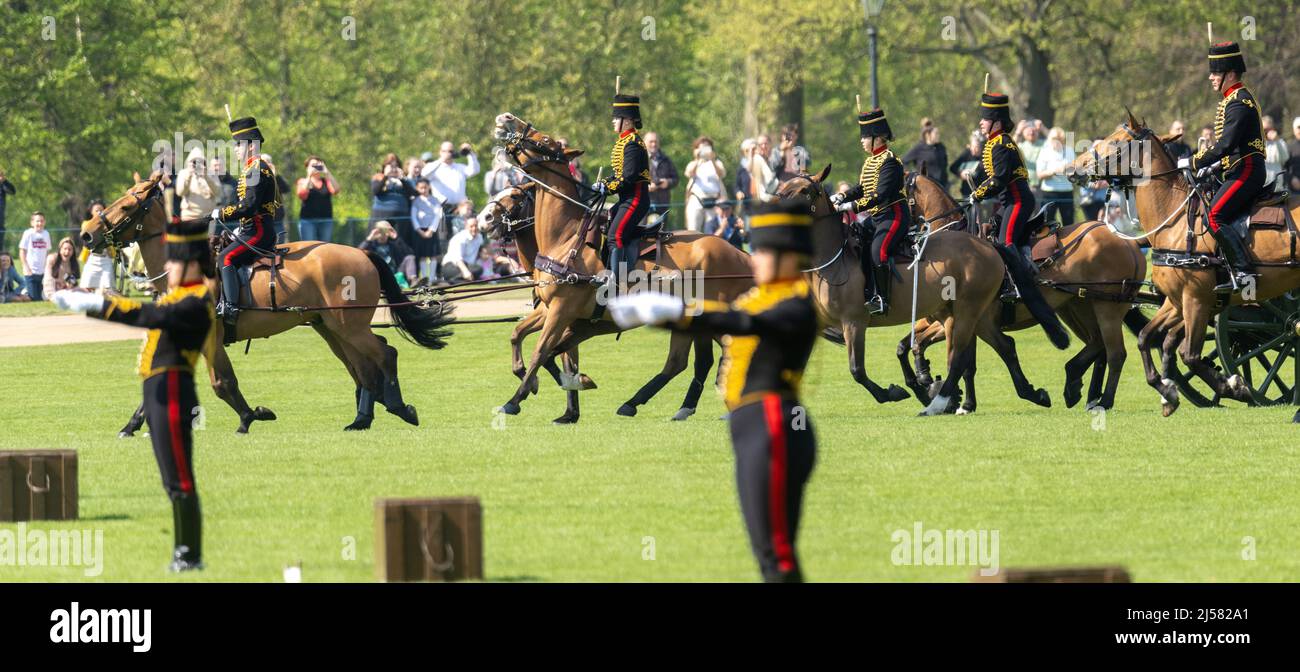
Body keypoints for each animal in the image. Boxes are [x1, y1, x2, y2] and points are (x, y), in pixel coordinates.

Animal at [79, 172, 457, 431]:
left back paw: (399, 408)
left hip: (348, 326)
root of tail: (362, 252)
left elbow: (223, 383)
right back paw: (362, 418)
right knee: (364, 368)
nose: (86, 234)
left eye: (128, 204)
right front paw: (131, 425)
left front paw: (251, 416)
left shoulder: (212, 336)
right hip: (331, 328)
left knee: (384, 354)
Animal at [488, 115, 754, 418]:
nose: (506, 119)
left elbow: (542, 352)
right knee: (681, 362)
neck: (564, 238)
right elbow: (519, 335)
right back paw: (646, 404)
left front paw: (515, 400)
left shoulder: (561, 311)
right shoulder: (551, 310)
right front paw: (540, 383)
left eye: (544, 140)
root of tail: (740, 254)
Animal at [774, 163, 1071, 413]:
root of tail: (988, 246)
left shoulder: (854, 322)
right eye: (783, 187)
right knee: (1005, 346)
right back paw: (1032, 393)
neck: (833, 260)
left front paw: (896, 392)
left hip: (966, 313)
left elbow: (858, 369)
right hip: (977, 315)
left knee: (962, 358)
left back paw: (939, 403)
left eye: (805, 191)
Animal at [894, 170, 1149, 410]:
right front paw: (935, 385)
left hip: (1104, 308)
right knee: (1099, 346)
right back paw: (1083, 391)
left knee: (1112, 352)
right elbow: (911, 346)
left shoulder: (958, 319)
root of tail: (1127, 240)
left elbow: (957, 359)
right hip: (1078, 307)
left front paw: (947, 394)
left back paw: (1095, 395)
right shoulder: (953, 319)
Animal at [1071, 110, 1300, 415]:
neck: (1176, 220)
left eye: (1116, 142)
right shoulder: (1176, 301)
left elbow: (1188, 353)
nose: (1074, 168)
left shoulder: (1196, 299)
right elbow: (1149, 339)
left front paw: (1234, 387)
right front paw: (1168, 390)